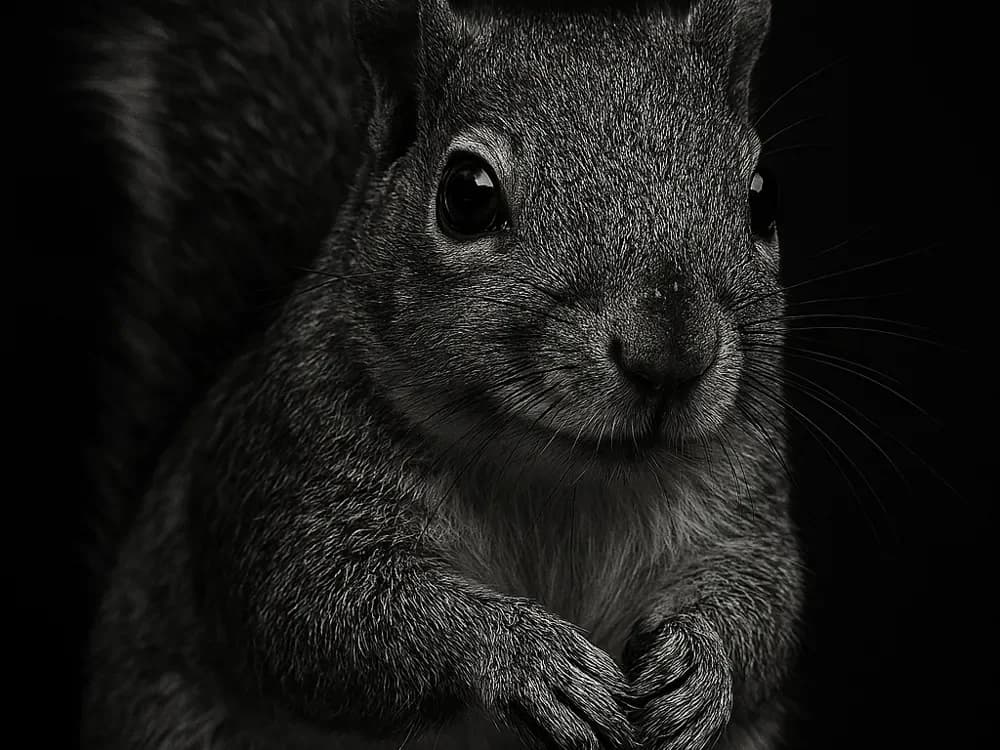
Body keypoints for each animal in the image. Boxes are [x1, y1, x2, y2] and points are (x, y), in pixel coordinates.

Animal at [82, 1, 805, 748]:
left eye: (762, 195)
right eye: (467, 194)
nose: (671, 353)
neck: (565, 478)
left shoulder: (744, 502)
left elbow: (766, 600)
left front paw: (703, 662)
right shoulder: (284, 473)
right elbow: (313, 610)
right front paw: (524, 656)